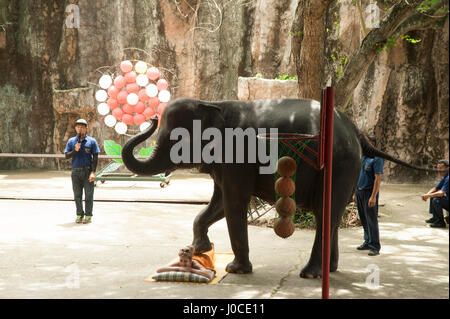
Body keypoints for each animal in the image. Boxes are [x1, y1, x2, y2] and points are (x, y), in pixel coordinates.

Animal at [121, 98, 434, 280]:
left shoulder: (237, 158)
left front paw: (236, 270)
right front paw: (201, 249)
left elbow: (234, 203)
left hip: (339, 165)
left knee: (325, 213)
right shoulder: (226, 163)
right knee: (330, 215)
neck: (212, 102)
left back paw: (310, 274)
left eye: (176, 138)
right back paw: (329, 269)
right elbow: (219, 203)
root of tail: (356, 130)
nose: (150, 120)